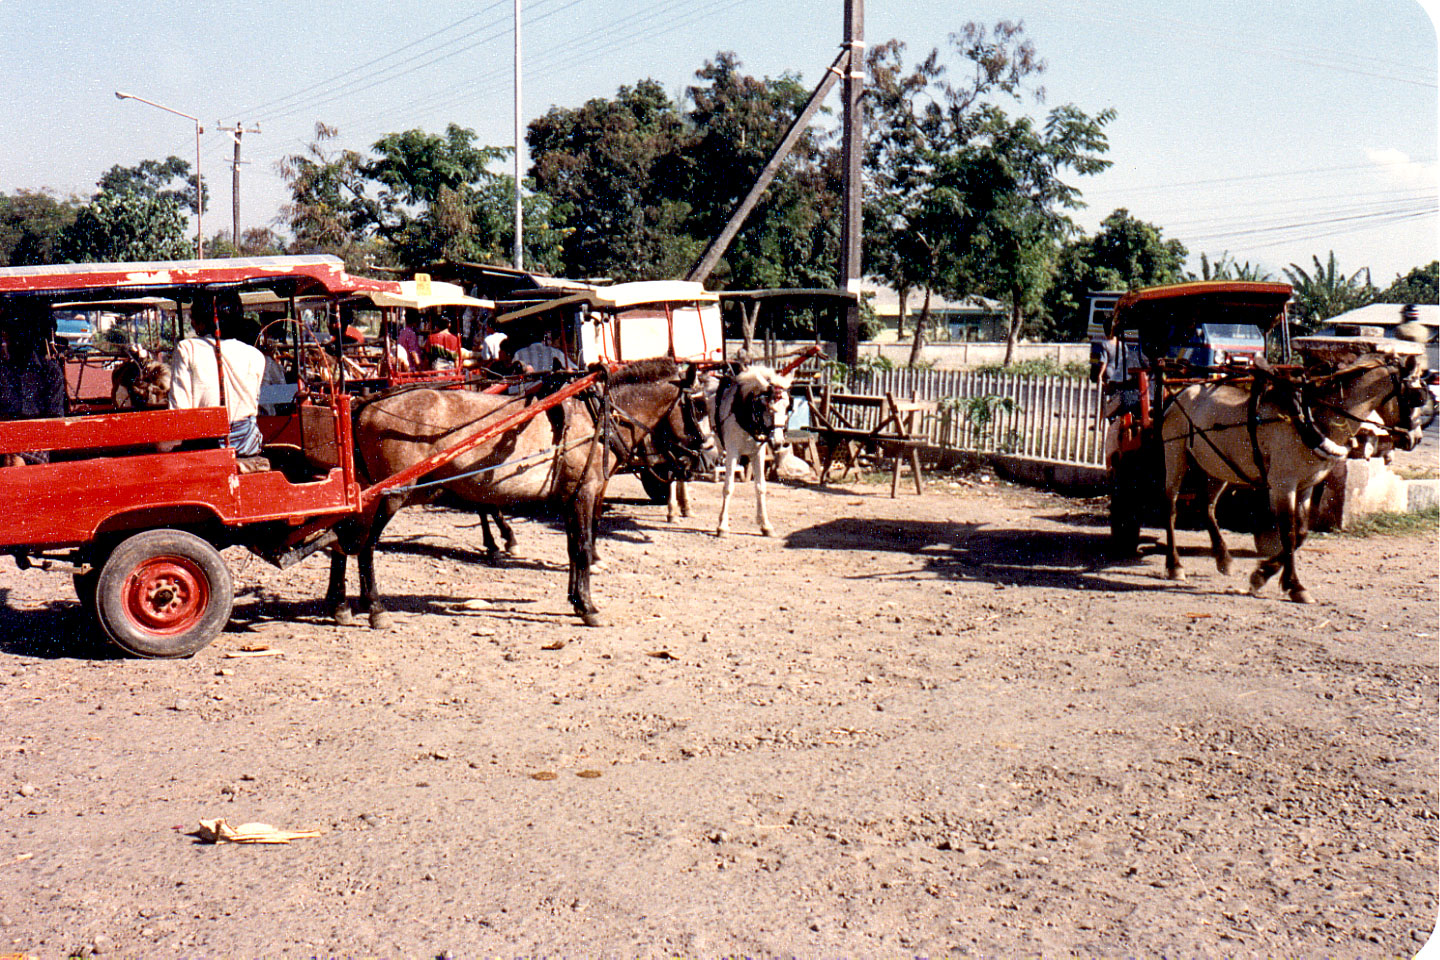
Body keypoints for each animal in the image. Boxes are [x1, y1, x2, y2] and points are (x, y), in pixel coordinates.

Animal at [325, 359, 708, 630]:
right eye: (697, 406)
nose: (705, 454)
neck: (597, 416)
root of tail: (365, 402)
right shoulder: (584, 494)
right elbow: (584, 547)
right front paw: (588, 607)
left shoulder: (572, 497)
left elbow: (573, 548)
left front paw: (575, 599)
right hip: (389, 495)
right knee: (364, 546)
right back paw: (374, 608)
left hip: (365, 494)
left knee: (340, 538)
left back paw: (339, 605)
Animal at [1157, 356, 1428, 604]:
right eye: (1416, 398)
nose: (1415, 438)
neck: (1310, 418)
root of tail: (1181, 392)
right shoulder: (1283, 486)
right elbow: (1287, 534)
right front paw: (1294, 585)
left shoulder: (1306, 486)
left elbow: (1301, 533)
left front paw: (1261, 574)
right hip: (1175, 454)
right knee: (1170, 508)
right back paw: (1174, 565)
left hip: (1218, 466)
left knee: (1207, 507)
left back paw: (1223, 558)